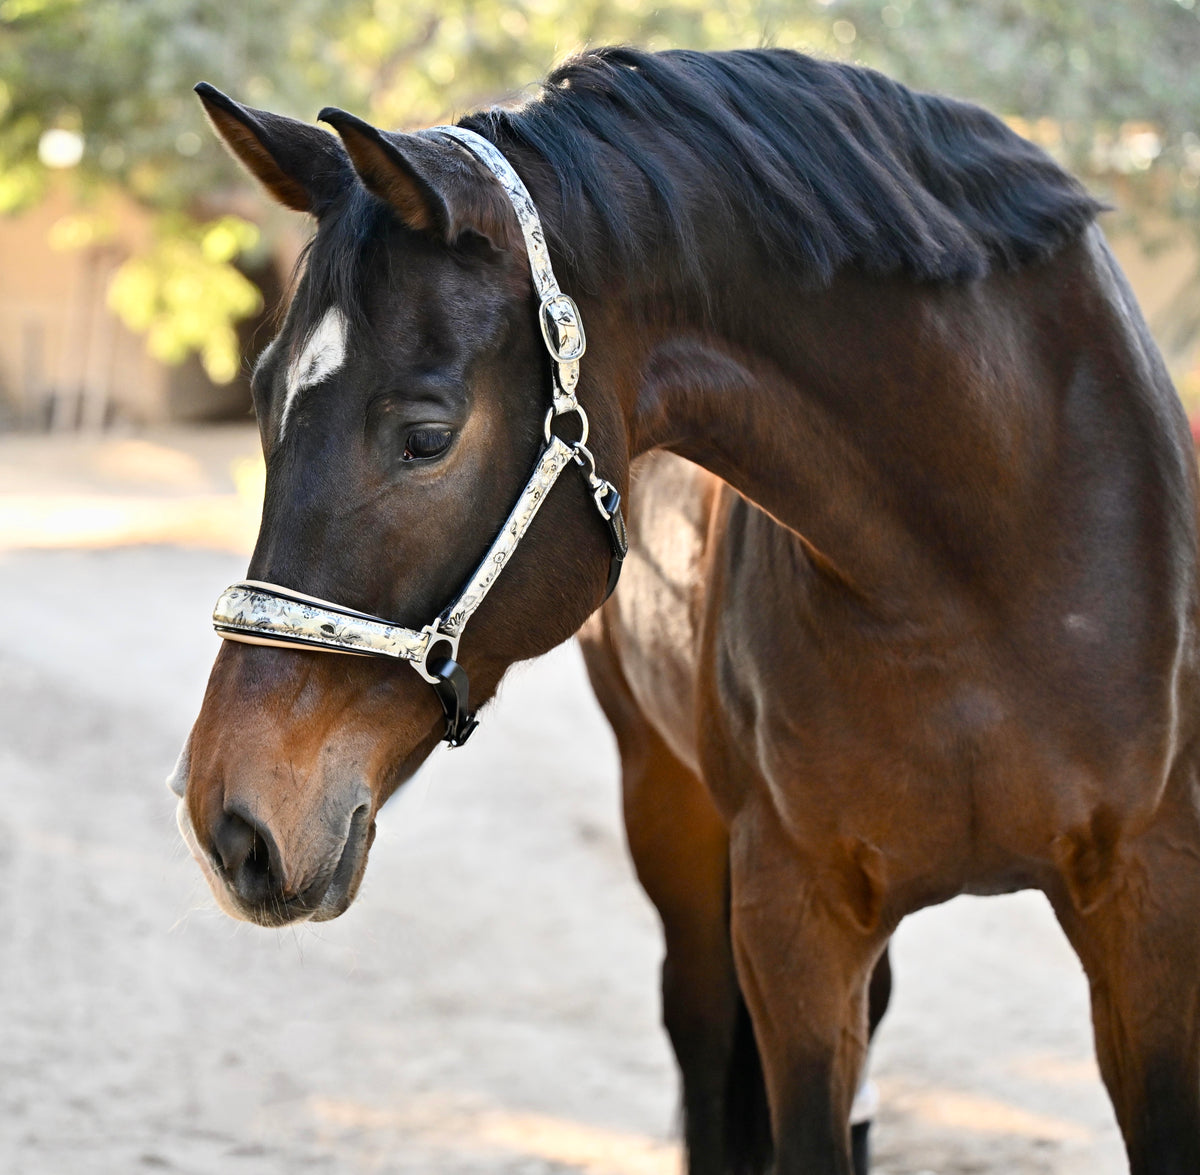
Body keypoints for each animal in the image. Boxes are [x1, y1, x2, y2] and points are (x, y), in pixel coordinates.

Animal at [171, 45, 1200, 1175]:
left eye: (426, 435)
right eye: (265, 397)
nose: (229, 822)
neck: (985, 558)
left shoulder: (1151, 913)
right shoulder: (794, 925)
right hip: (672, 815)